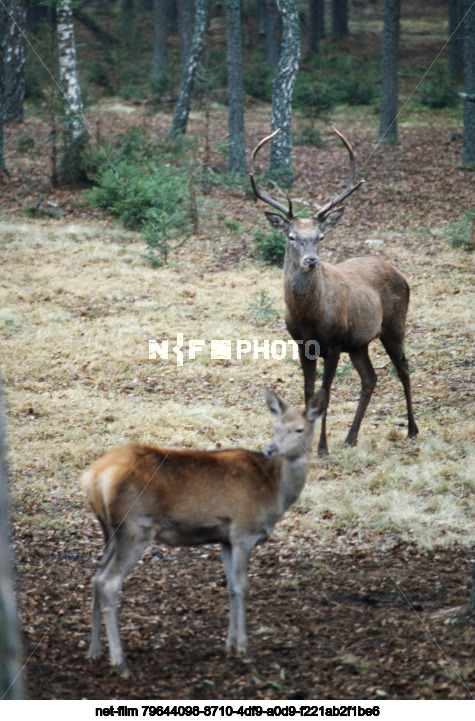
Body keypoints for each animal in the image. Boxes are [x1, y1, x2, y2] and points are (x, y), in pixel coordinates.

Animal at [82, 388, 326, 676]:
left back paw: (94, 651)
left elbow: (231, 587)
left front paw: (230, 645)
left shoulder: (225, 539)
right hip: (135, 528)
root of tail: (93, 477)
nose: (272, 448)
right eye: (276, 426)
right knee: (109, 583)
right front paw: (244, 650)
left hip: (110, 531)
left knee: (96, 579)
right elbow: (242, 586)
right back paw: (120, 662)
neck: (275, 493)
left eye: (299, 429)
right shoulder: (243, 531)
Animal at [251, 128, 418, 456]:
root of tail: (401, 275)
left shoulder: (334, 342)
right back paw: (351, 437)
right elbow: (307, 392)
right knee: (370, 378)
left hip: (393, 326)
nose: (311, 260)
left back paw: (412, 430)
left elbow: (324, 394)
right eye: (292, 236)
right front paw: (306, 443)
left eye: (320, 236)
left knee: (404, 368)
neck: (309, 317)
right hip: (359, 343)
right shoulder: (303, 344)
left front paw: (322, 447)